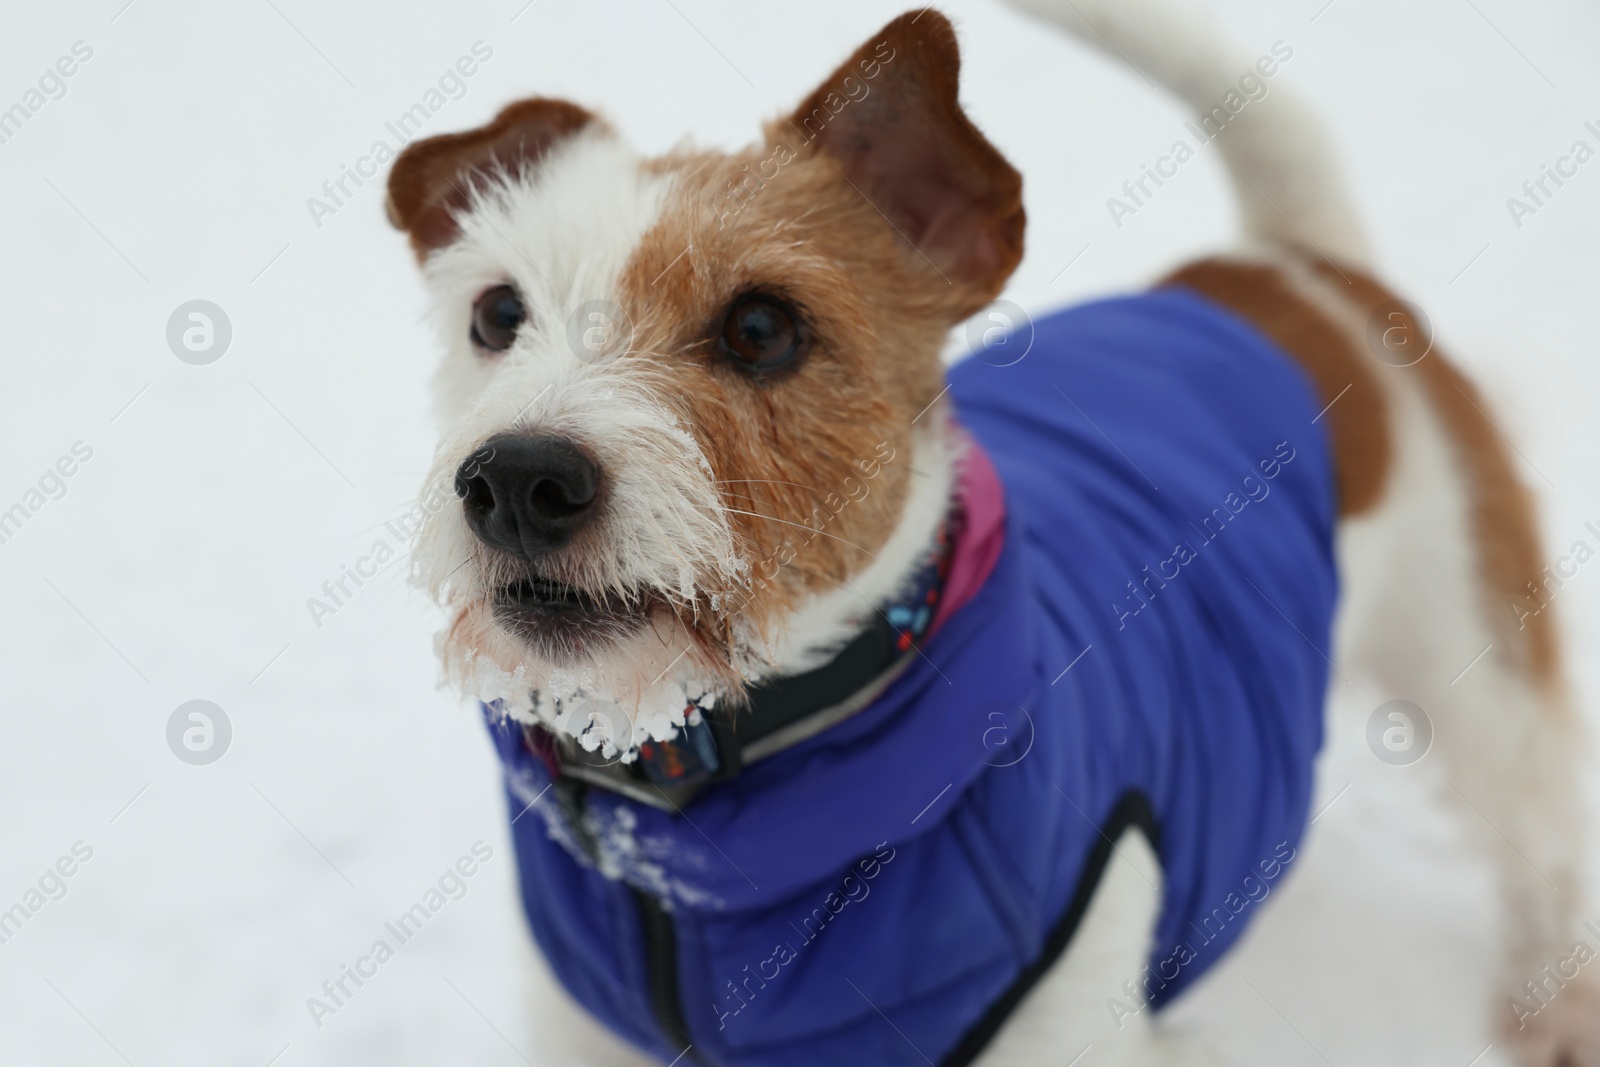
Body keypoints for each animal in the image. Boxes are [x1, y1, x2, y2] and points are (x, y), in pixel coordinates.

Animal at [384, 4, 1600, 1062]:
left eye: (762, 326)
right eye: (497, 312)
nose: (517, 479)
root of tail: (1294, 271)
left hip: (1474, 667)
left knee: (1543, 835)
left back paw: (1555, 1006)